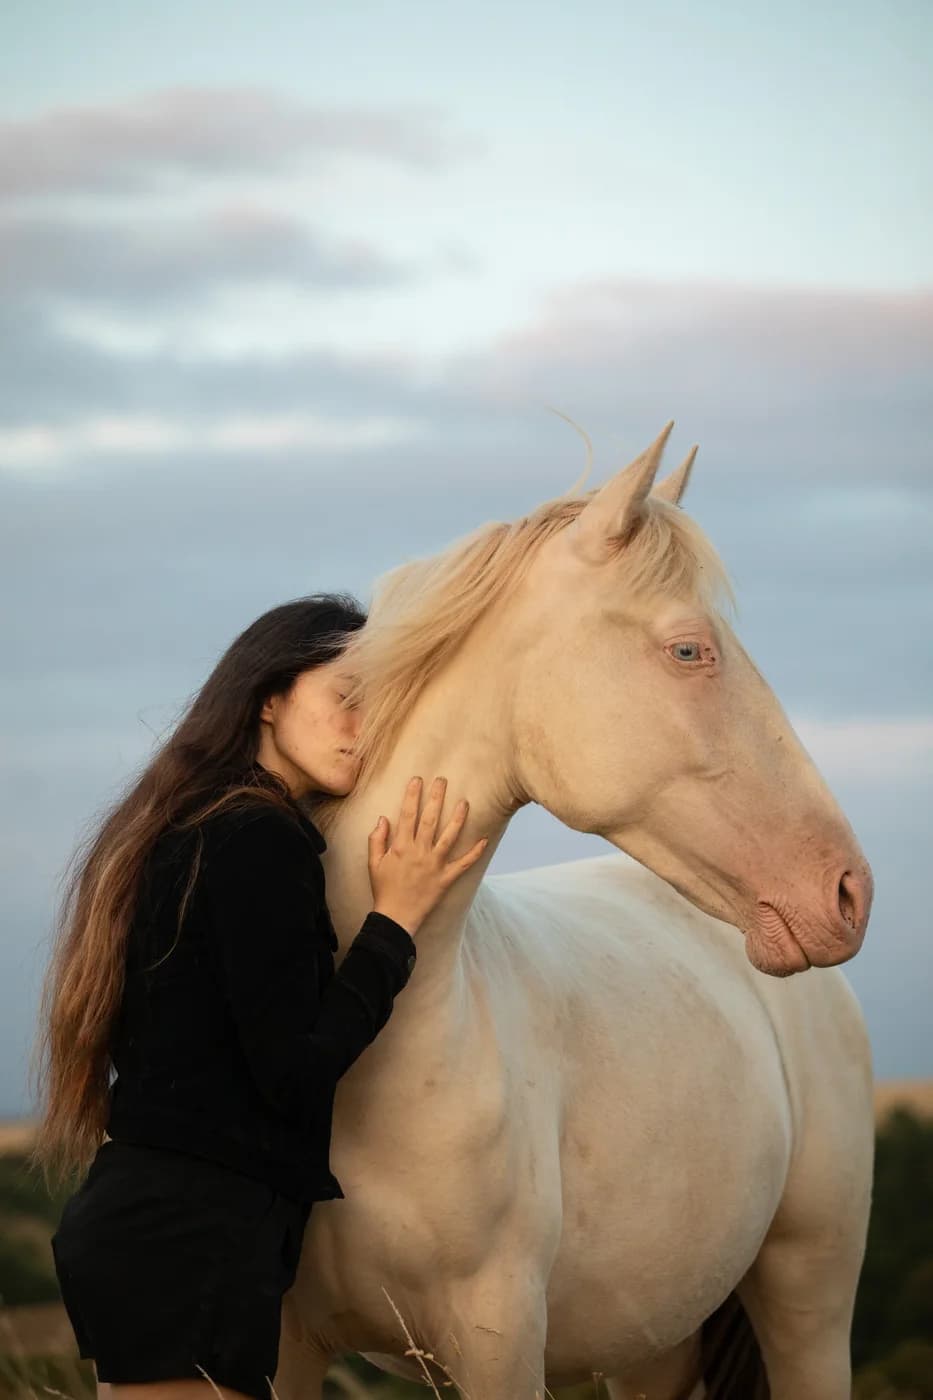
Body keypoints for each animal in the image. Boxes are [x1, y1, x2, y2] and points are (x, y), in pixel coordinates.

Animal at [272, 422, 874, 1400]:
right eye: (688, 650)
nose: (847, 891)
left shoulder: (499, 1341)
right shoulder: (279, 1344)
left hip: (807, 1301)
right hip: (655, 1337)